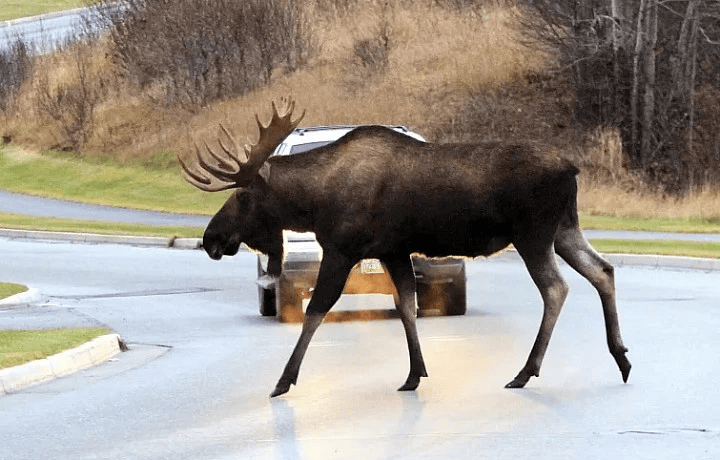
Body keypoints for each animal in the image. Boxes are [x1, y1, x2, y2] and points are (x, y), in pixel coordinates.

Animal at [179, 97, 632, 396]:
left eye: (242, 197)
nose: (210, 238)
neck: (313, 202)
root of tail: (571, 168)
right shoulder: (393, 250)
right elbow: (407, 306)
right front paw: (415, 375)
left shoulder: (342, 249)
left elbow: (315, 311)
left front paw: (283, 381)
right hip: (564, 228)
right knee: (603, 269)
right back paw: (622, 357)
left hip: (533, 234)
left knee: (556, 288)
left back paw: (526, 371)